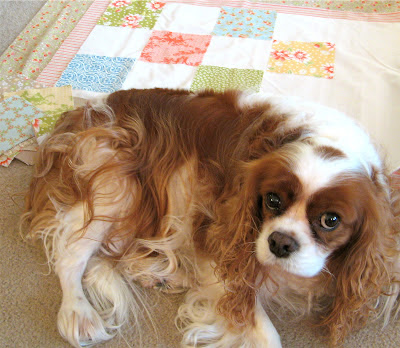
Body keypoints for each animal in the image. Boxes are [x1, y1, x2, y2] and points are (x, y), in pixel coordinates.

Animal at [22, 88, 400, 346]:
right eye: (272, 200)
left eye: (330, 221)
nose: (280, 242)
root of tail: (78, 112)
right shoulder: (219, 240)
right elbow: (263, 330)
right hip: (113, 179)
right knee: (72, 255)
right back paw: (78, 313)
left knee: (117, 252)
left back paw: (162, 275)